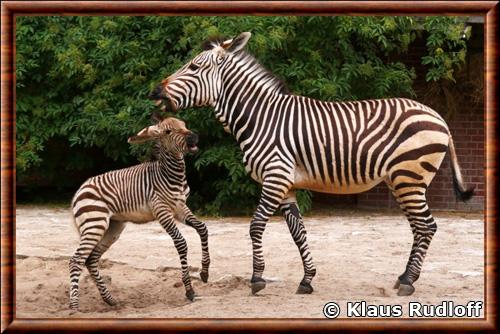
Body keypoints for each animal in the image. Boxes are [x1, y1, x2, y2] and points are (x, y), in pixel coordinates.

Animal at [68, 114, 207, 310]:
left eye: (184, 125)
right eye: (168, 131)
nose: (193, 137)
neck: (173, 175)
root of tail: (79, 190)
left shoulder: (180, 208)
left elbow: (202, 228)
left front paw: (205, 272)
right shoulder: (162, 211)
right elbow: (181, 243)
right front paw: (189, 291)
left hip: (112, 227)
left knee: (91, 259)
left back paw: (110, 300)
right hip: (94, 224)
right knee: (77, 260)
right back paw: (74, 306)